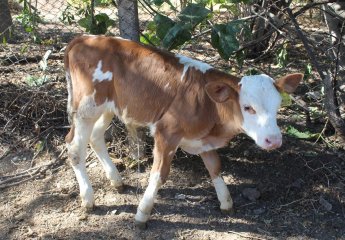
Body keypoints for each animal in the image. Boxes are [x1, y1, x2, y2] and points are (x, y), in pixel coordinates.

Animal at [63, 34, 300, 228]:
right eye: (248, 107)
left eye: (278, 106)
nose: (274, 140)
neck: (207, 104)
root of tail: (85, 38)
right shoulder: (165, 132)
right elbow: (159, 174)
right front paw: (142, 213)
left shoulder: (203, 138)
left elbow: (215, 167)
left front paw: (226, 202)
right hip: (87, 106)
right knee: (74, 147)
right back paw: (88, 198)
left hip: (109, 107)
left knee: (95, 137)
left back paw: (116, 180)